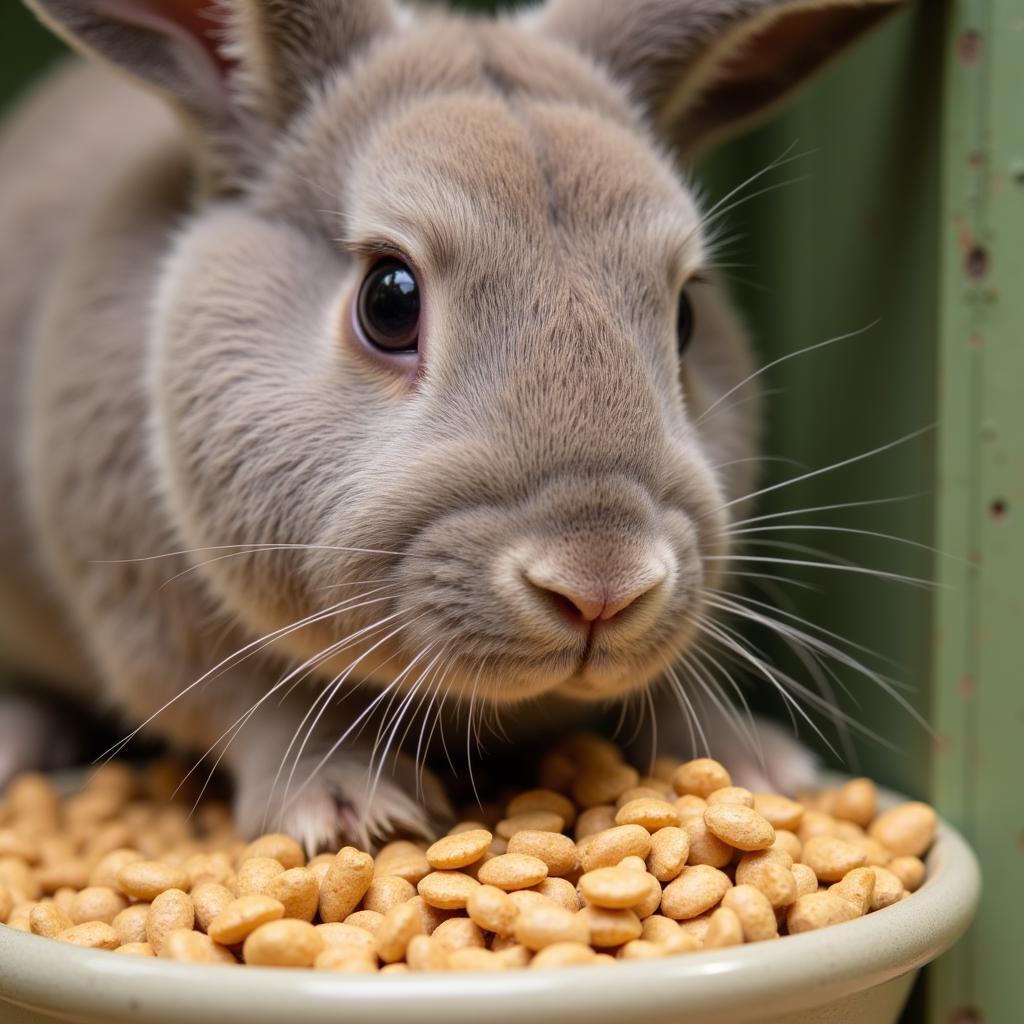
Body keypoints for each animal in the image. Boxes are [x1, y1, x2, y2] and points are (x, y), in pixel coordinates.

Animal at [0, 0, 901, 847]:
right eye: (389, 299)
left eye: (685, 316)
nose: (600, 587)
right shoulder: (153, 616)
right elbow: (256, 706)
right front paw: (352, 809)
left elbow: (673, 688)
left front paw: (759, 765)